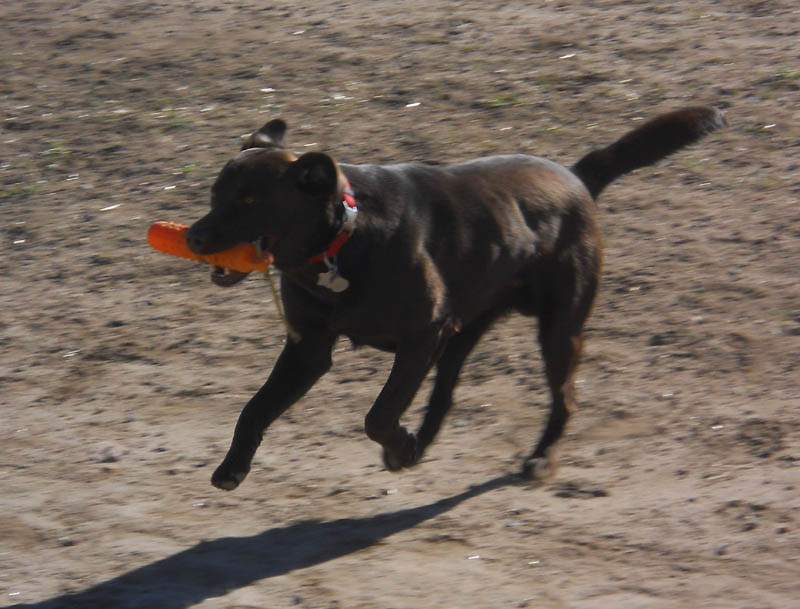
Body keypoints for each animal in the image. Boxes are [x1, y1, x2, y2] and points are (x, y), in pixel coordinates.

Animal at [186, 105, 724, 490]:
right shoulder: (310, 349)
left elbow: (379, 414)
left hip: (558, 327)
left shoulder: (420, 336)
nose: (192, 236)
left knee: (565, 398)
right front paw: (233, 466)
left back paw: (538, 459)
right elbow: (255, 407)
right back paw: (419, 444)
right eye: (216, 194)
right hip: (463, 332)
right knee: (445, 395)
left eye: (250, 200)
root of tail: (576, 178)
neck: (343, 241)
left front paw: (398, 443)